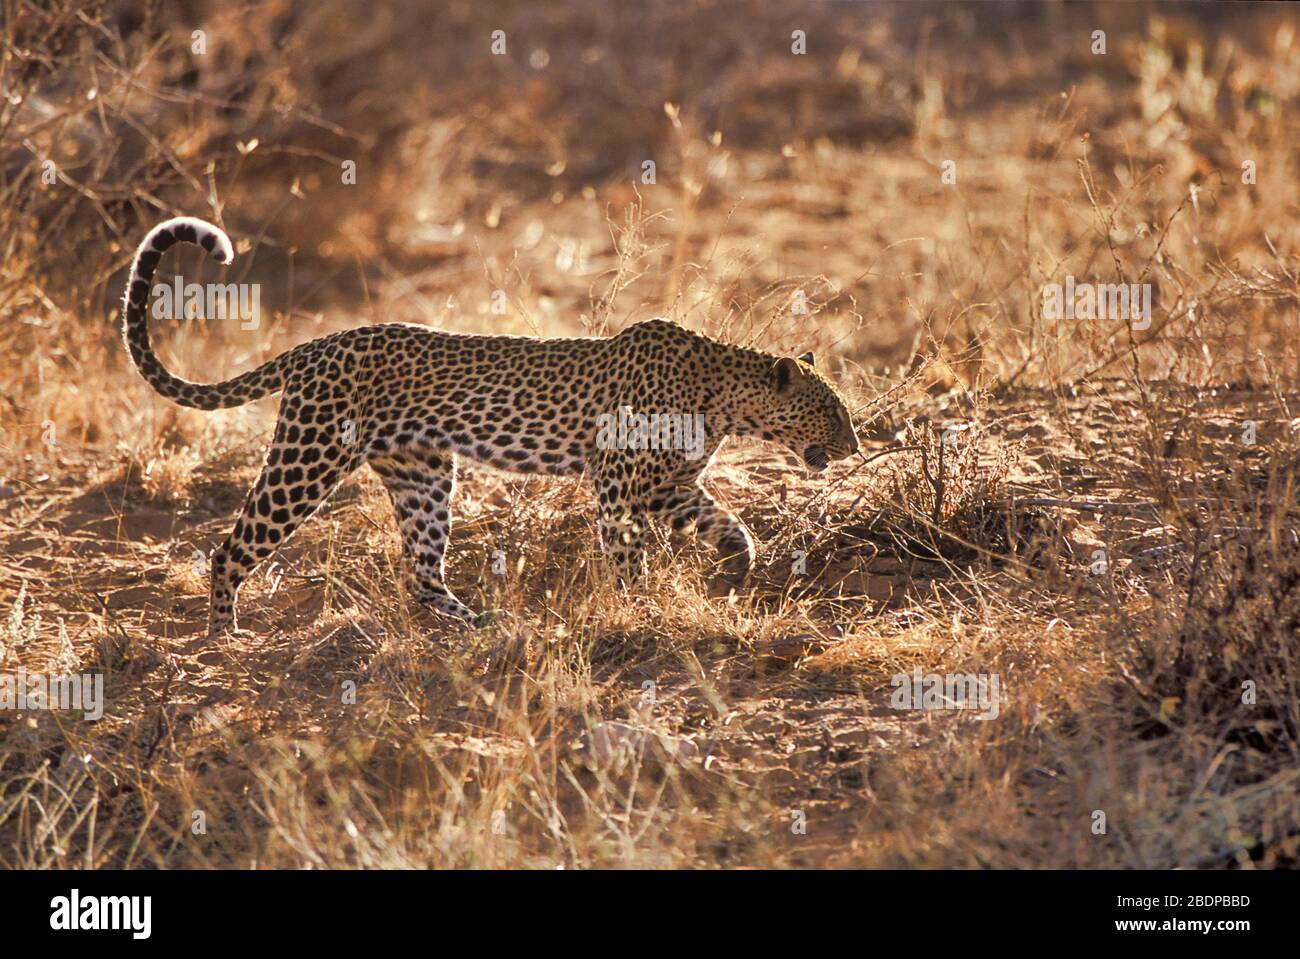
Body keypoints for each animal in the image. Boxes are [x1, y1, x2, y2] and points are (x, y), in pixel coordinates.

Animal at [120, 216, 861, 639]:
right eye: (832, 410)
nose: (856, 445)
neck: (724, 398)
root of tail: (311, 347)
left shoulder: (666, 485)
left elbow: (723, 521)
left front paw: (738, 563)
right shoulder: (620, 486)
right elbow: (625, 554)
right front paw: (635, 606)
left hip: (422, 474)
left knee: (421, 571)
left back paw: (476, 621)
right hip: (308, 456)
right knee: (232, 547)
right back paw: (224, 635)